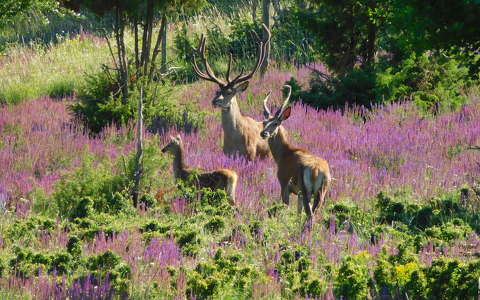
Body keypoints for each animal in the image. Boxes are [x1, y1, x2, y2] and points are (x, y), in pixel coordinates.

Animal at [192, 24, 274, 162]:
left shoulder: (250, 155)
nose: (215, 101)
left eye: (230, 92)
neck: (235, 140)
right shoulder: (226, 154)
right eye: (217, 91)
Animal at [260, 85, 332, 219]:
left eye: (276, 123)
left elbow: (286, 208)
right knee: (313, 213)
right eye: (264, 122)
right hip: (322, 191)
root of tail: (316, 170)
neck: (283, 155)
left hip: (305, 189)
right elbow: (298, 213)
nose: (263, 133)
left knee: (310, 215)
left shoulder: (284, 183)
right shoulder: (298, 193)